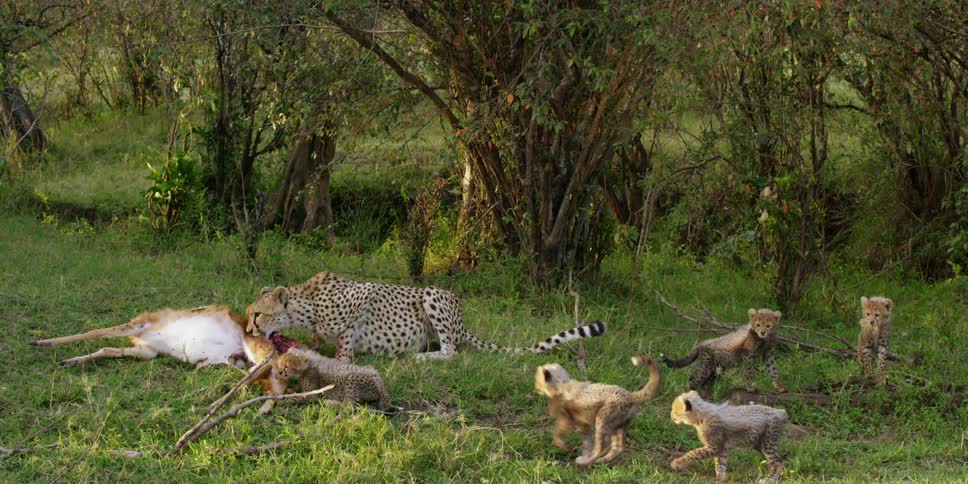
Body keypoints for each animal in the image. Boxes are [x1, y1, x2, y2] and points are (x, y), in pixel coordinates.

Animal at [259, 347, 396, 415]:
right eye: (280, 364)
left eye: (286, 367)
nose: (279, 372)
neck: (308, 366)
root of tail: (379, 378)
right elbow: (297, 389)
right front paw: (289, 390)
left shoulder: (312, 395)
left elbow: (297, 397)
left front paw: (282, 400)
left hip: (350, 381)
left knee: (349, 406)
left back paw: (330, 402)